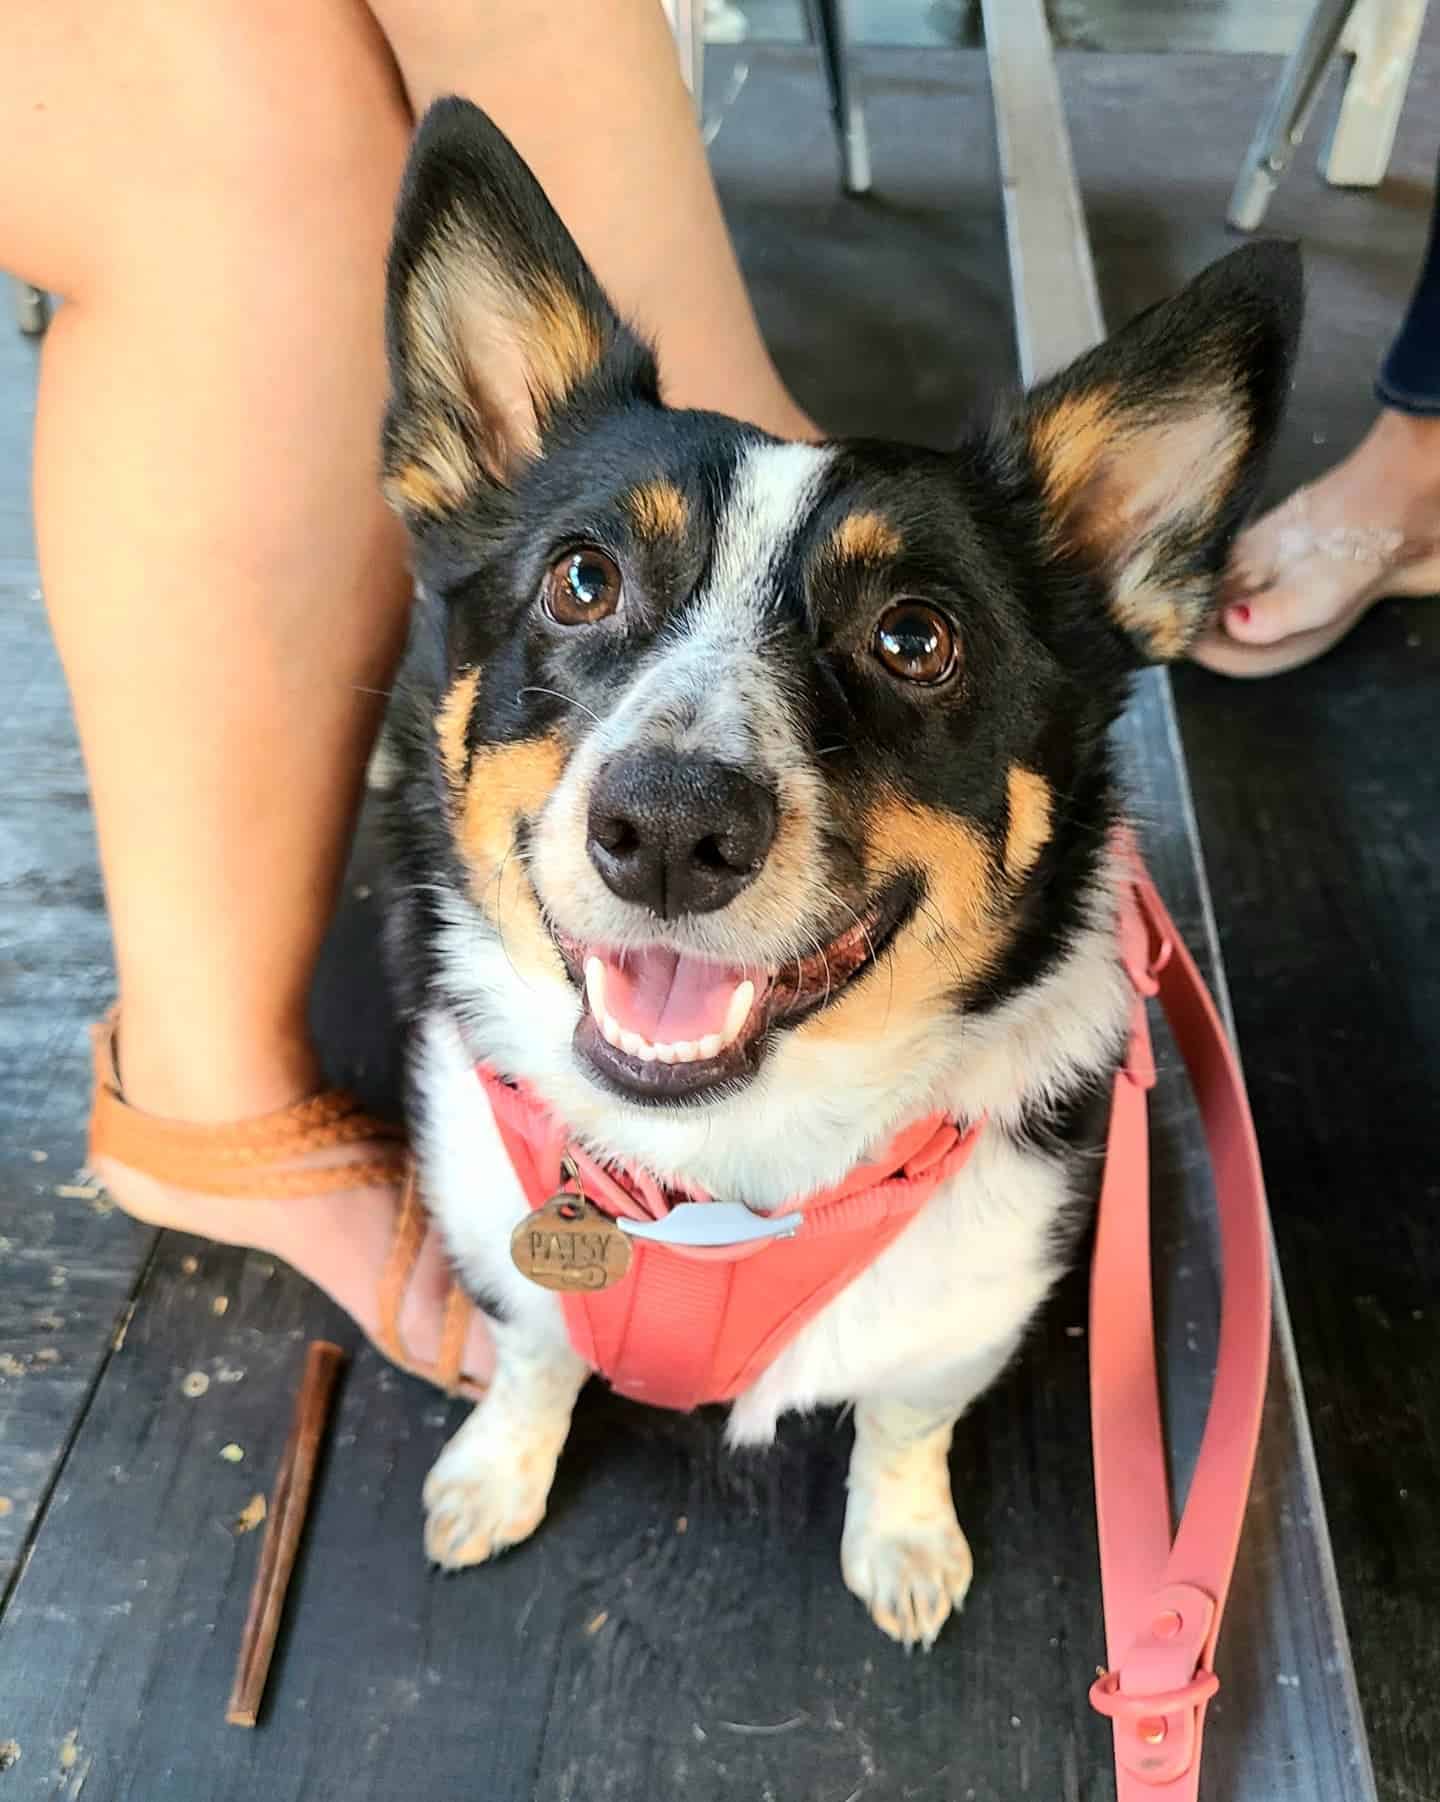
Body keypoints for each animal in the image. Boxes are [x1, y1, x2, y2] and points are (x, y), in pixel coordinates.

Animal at [376, 98, 1297, 1650]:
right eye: (581, 578)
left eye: (915, 637)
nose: (669, 825)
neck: (720, 1175)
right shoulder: (510, 1243)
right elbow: (538, 1358)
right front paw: (497, 1469)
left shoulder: (964, 1307)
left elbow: (905, 1423)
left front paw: (906, 1542)